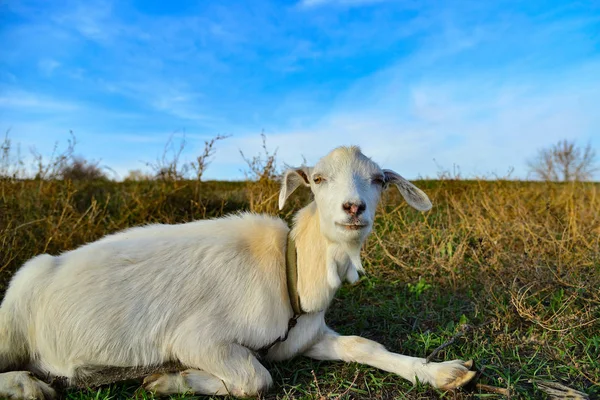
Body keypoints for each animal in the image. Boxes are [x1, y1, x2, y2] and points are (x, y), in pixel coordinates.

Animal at [1, 146, 478, 396]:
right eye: (318, 179)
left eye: (379, 180)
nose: (353, 208)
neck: (291, 273)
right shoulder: (197, 339)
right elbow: (255, 379)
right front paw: (171, 378)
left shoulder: (302, 338)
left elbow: (364, 345)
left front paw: (443, 372)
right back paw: (28, 385)